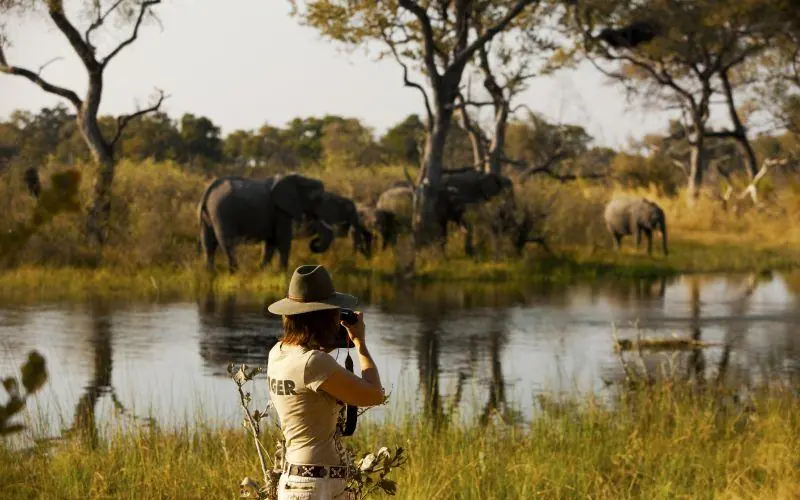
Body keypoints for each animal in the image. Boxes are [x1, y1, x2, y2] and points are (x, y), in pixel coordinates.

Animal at [198, 173, 334, 272]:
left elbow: (271, 242)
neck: (299, 179)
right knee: (227, 242)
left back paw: (210, 274)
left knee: (208, 243)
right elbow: (283, 239)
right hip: (222, 211)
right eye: (317, 199)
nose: (314, 243)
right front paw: (283, 274)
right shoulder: (281, 210)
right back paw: (235, 272)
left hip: (209, 213)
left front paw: (263, 270)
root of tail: (208, 189)